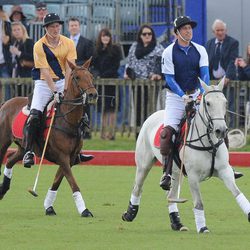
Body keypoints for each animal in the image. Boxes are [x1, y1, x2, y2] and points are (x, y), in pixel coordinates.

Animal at [0, 59, 98, 217]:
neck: (68, 120)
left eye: (91, 76)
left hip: (24, 146)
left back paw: (3, 189)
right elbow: (73, 183)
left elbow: (57, 181)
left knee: (10, 160)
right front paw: (84, 210)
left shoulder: (70, 158)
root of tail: (5, 103)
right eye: (77, 77)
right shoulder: (62, 156)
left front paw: (48, 206)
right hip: (3, 142)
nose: (92, 95)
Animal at [122, 78, 250, 232]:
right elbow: (199, 203)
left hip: (176, 171)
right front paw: (202, 228)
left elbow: (237, 193)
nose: (221, 130)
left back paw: (177, 223)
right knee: (138, 187)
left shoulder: (225, 171)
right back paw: (130, 213)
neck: (208, 143)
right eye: (208, 103)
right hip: (144, 164)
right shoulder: (193, 176)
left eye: (225, 102)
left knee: (171, 195)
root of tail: (154, 114)